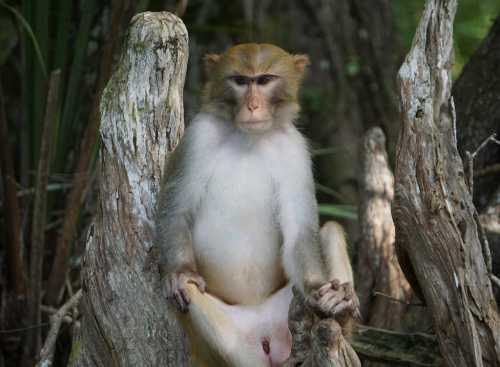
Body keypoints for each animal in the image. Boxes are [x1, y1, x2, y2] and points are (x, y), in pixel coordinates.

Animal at [154, 43, 358, 367]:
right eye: (240, 81)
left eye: (264, 80)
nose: (252, 106)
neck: (248, 138)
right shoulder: (198, 137)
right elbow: (177, 213)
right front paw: (181, 272)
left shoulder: (295, 150)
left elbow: (300, 232)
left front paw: (320, 291)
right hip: (223, 343)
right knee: (201, 305)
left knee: (331, 230)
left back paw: (341, 310)